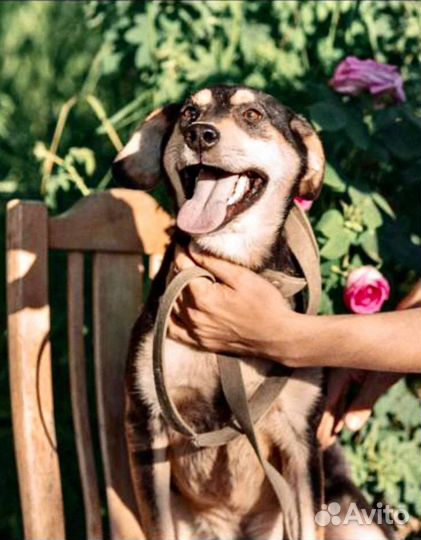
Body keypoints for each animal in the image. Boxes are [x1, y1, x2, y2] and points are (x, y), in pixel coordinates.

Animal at [112, 86, 394, 536]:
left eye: (252, 114)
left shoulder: (299, 438)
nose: (200, 134)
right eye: (188, 112)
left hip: (353, 518)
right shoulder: (147, 422)